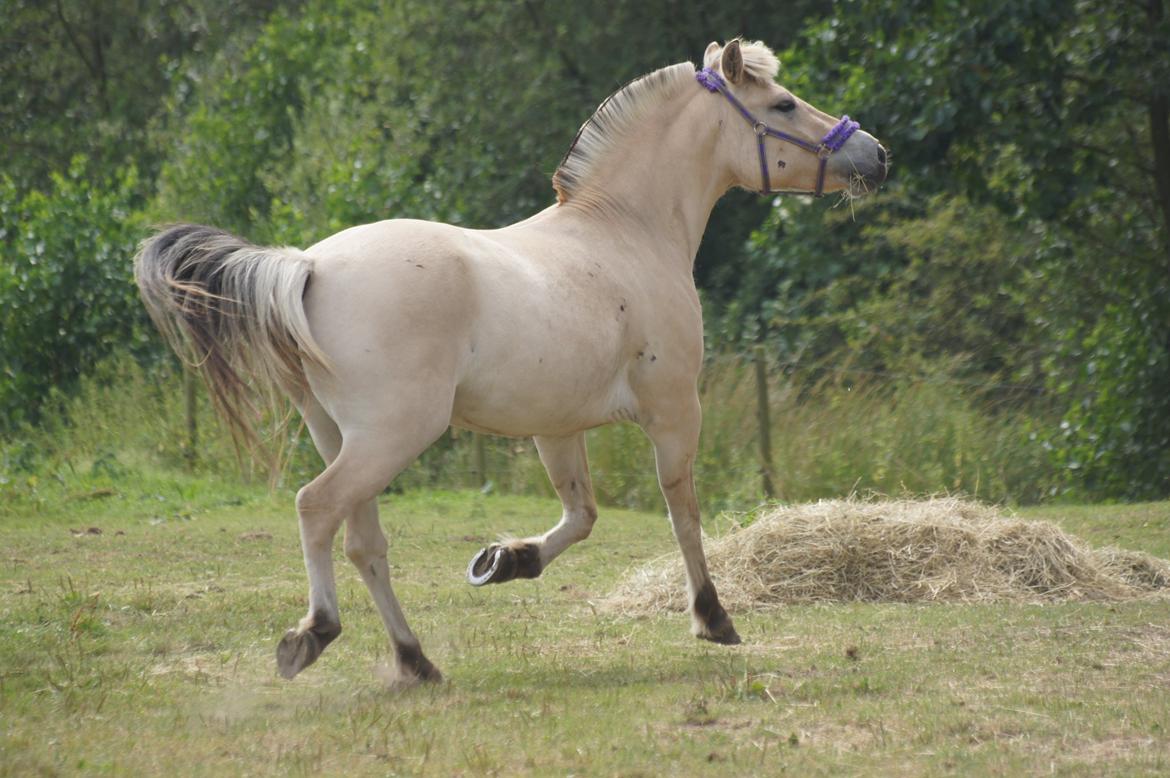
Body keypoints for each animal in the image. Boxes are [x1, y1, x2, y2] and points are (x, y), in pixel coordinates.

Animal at [134, 39, 884, 683]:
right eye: (782, 104)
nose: (875, 154)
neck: (625, 232)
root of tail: (308, 265)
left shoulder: (558, 428)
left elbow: (582, 516)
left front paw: (503, 562)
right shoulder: (673, 411)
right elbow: (683, 513)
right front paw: (712, 618)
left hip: (337, 435)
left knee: (363, 543)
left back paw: (416, 661)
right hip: (391, 436)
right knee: (317, 509)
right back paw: (314, 634)